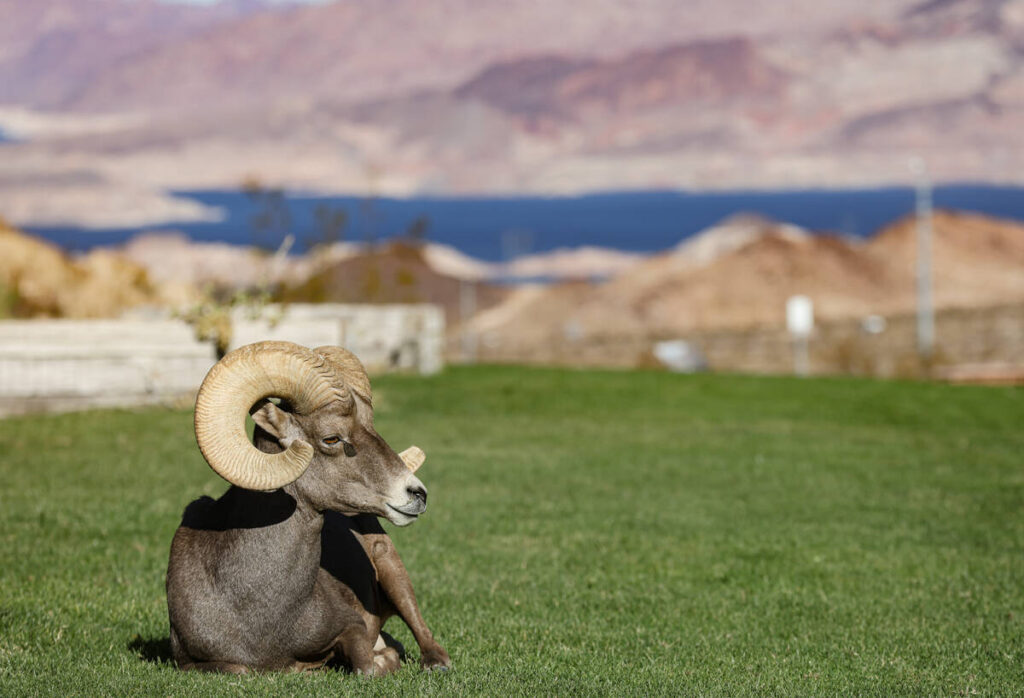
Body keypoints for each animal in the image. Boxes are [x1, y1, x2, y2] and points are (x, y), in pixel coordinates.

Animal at [166, 340, 451, 675]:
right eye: (332, 438)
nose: (417, 493)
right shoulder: (189, 661)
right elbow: (240, 669)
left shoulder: (351, 626)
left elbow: (367, 666)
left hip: (392, 568)